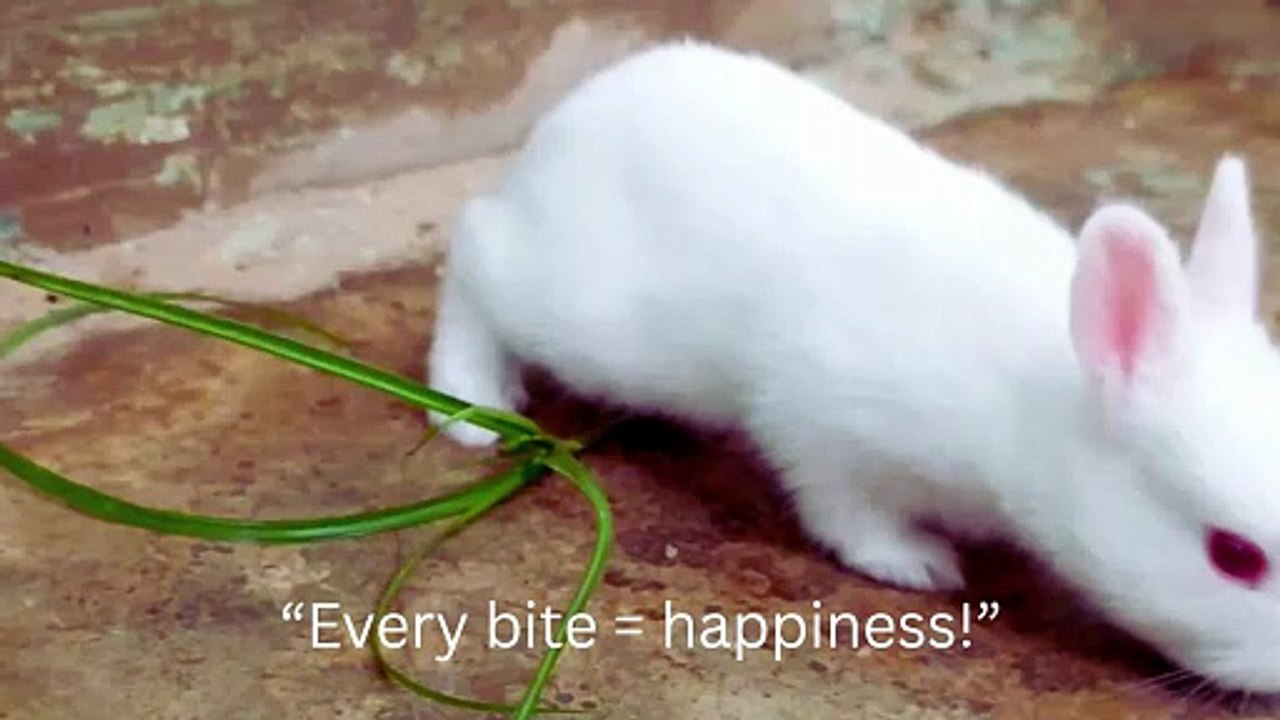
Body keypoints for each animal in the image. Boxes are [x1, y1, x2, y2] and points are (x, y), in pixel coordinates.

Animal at [426, 41, 1280, 693]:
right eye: (1233, 556)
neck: (1037, 410)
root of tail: (565, 122)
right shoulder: (825, 419)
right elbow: (844, 510)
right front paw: (919, 565)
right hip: (579, 315)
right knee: (472, 250)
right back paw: (471, 407)